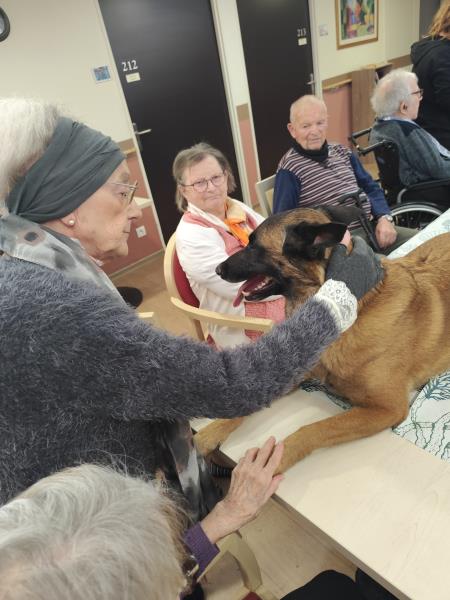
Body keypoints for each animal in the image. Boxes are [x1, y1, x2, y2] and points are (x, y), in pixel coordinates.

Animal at [194, 206, 450, 473]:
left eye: (255, 246)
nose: (217, 270)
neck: (353, 309)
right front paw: (211, 431)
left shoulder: (387, 408)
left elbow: (316, 428)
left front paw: (275, 459)